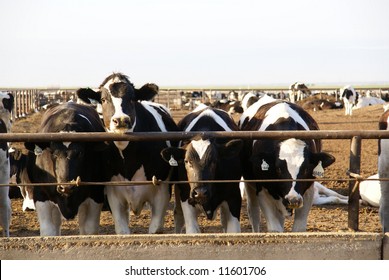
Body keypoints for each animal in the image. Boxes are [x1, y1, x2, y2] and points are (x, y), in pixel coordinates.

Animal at [23, 103, 107, 236]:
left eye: (81, 153)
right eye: (53, 153)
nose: (66, 187)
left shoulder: (96, 194)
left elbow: (89, 230)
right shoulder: (41, 195)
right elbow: (49, 231)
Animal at [76, 72, 179, 234]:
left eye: (132, 98)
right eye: (103, 99)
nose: (121, 120)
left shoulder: (162, 191)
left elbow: (155, 229)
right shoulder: (114, 193)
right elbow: (122, 230)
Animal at [238, 99, 334, 231]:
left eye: (306, 169)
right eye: (278, 169)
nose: (293, 200)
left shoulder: (307, 192)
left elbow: (298, 228)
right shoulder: (263, 191)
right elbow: (275, 229)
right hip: (250, 186)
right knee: (254, 213)